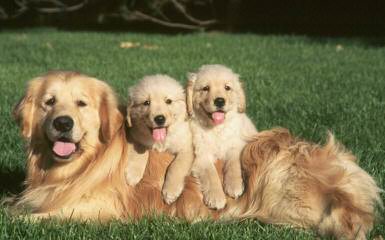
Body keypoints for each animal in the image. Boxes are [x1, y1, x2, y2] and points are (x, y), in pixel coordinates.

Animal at [124, 75, 194, 204]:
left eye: (168, 101)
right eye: (146, 102)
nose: (160, 119)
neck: (162, 140)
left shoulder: (187, 147)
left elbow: (176, 166)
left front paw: (171, 191)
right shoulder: (135, 136)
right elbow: (140, 151)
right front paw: (133, 173)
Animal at [186, 64, 255, 209]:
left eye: (227, 88)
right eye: (205, 88)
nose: (219, 101)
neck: (216, 129)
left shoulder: (235, 146)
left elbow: (233, 163)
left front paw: (234, 186)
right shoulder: (201, 155)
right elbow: (211, 174)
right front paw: (216, 197)